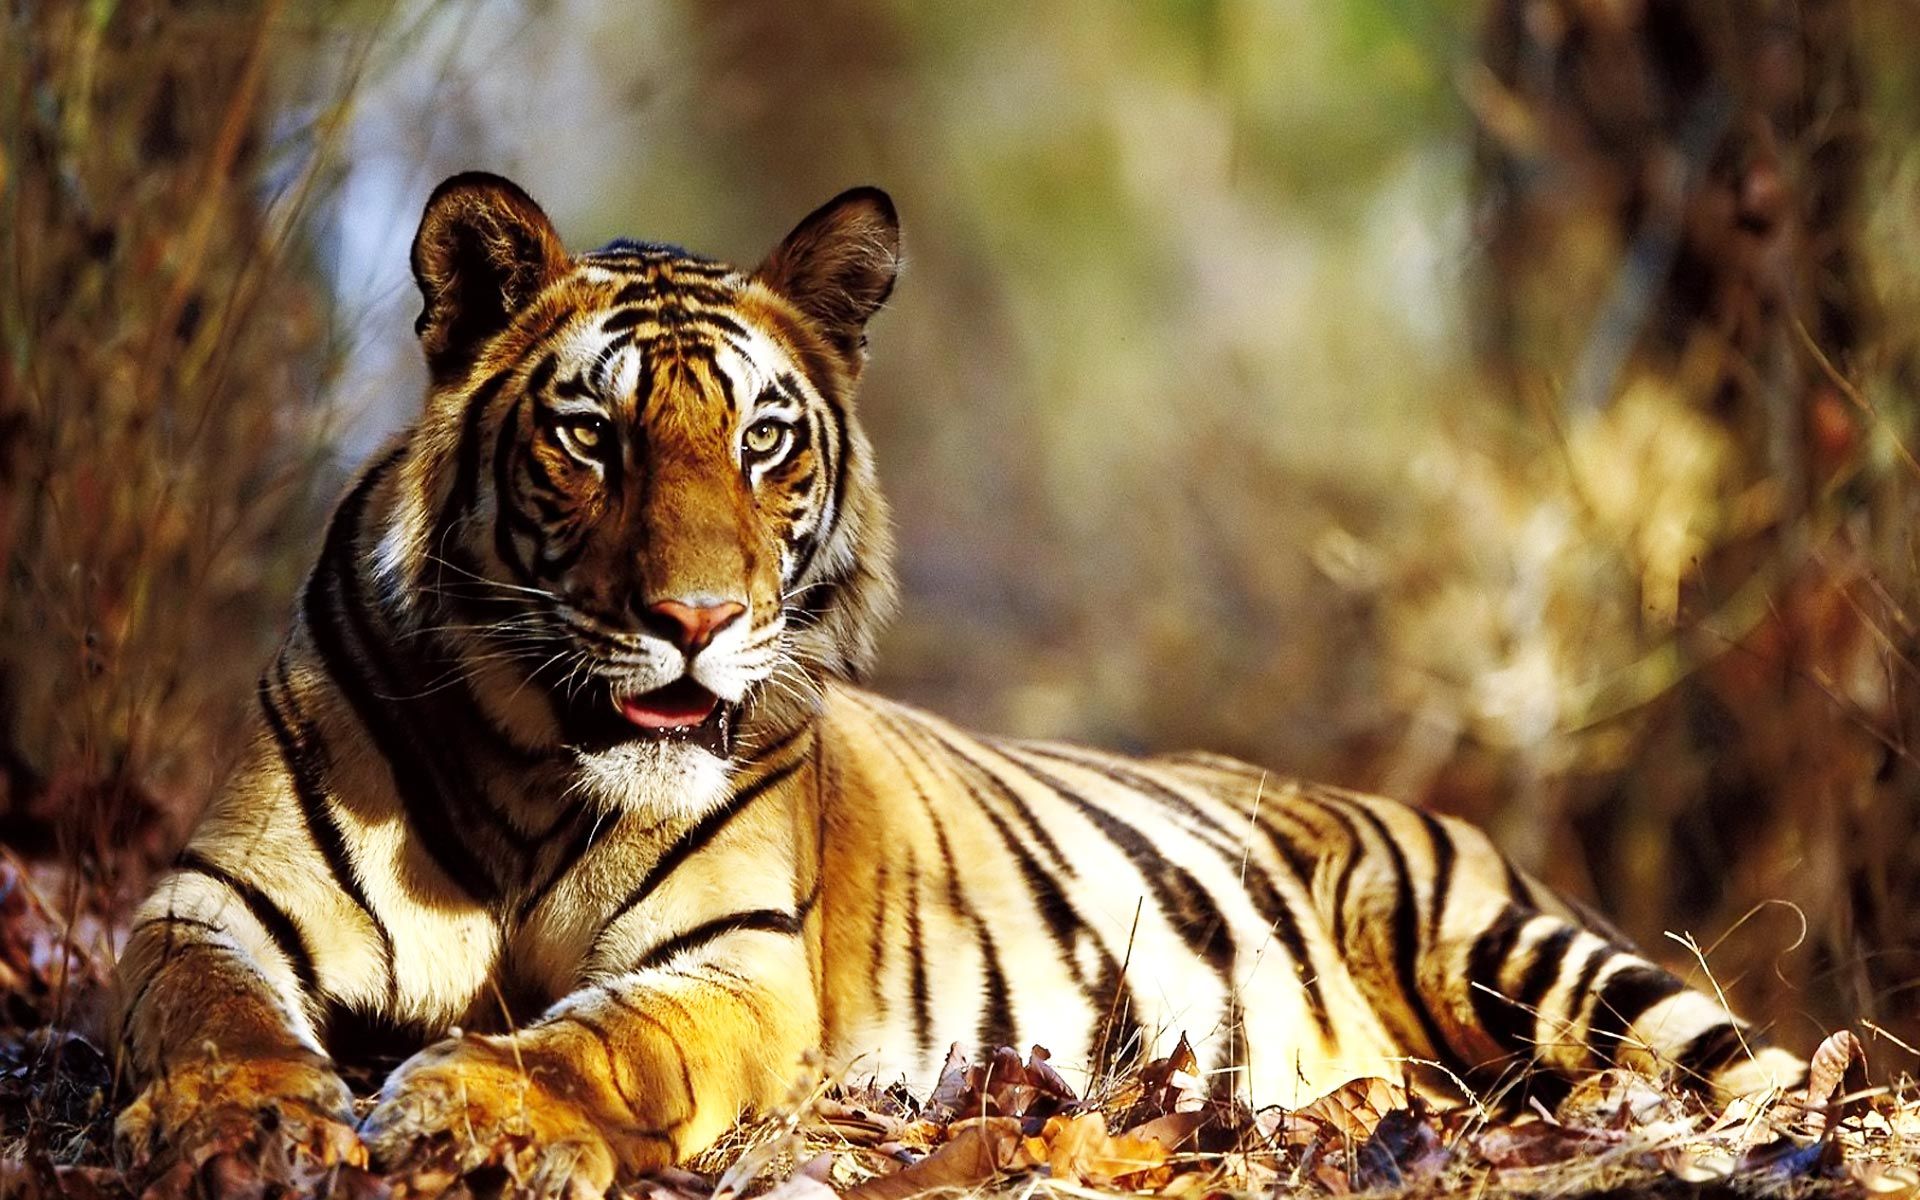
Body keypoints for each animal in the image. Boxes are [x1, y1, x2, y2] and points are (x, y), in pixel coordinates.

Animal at [114, 173, 1807, 1192]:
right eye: (590, 436)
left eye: (764, 439)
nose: (697, 619)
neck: (537, 763)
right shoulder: (208, 903)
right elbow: (207, 1012)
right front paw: (240, 1118)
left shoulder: (730, 967)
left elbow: (595, 1038)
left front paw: (465, 1105)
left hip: (1533, 961)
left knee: (1763, 1070)